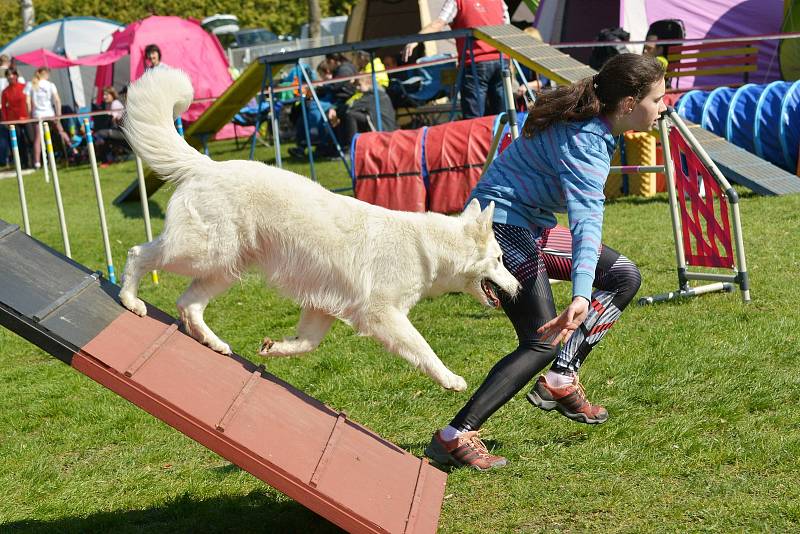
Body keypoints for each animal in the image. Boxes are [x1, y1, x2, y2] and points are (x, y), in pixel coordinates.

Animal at [117, 69, 520, 392]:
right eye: (501, 259)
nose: (518, 287)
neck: (429, 249)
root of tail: (206, 165)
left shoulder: (321, 307)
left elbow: (307, 343)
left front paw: (276, 348)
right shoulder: (383, 315)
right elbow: (423, 349)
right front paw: (451, 379)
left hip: (224, 267)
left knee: (188, 304)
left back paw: (213, 343)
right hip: (202, 253)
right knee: (139, 255)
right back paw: (131, 301)